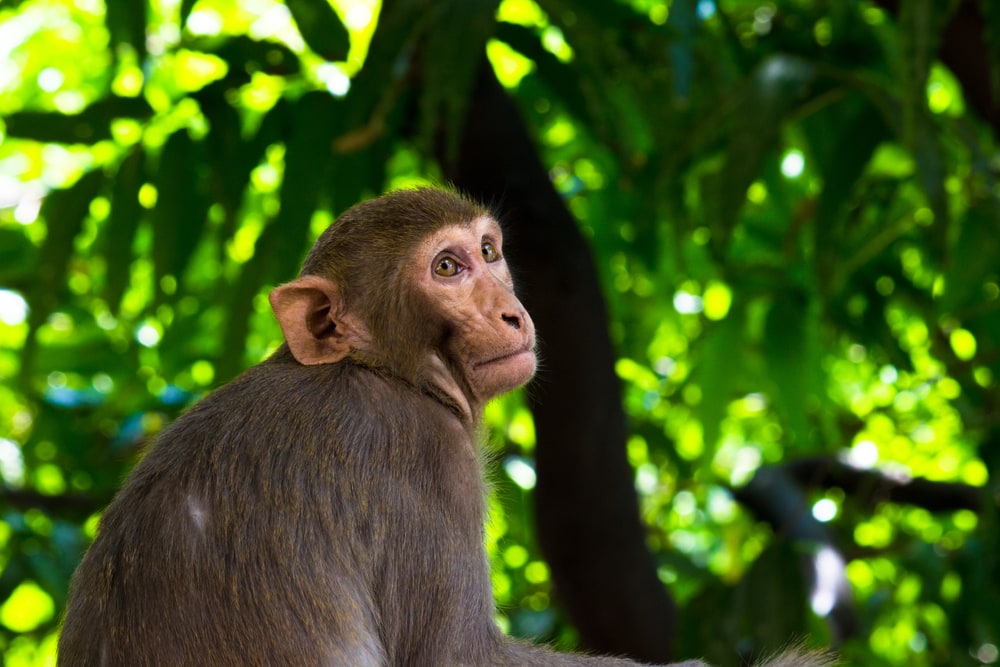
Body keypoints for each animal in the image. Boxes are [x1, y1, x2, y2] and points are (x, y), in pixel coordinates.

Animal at [58, 188, 832, 667]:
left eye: (488, 253)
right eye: (447, 268)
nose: (514, 313)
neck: (381, 370)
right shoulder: (424, 455)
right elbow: (457, 656)